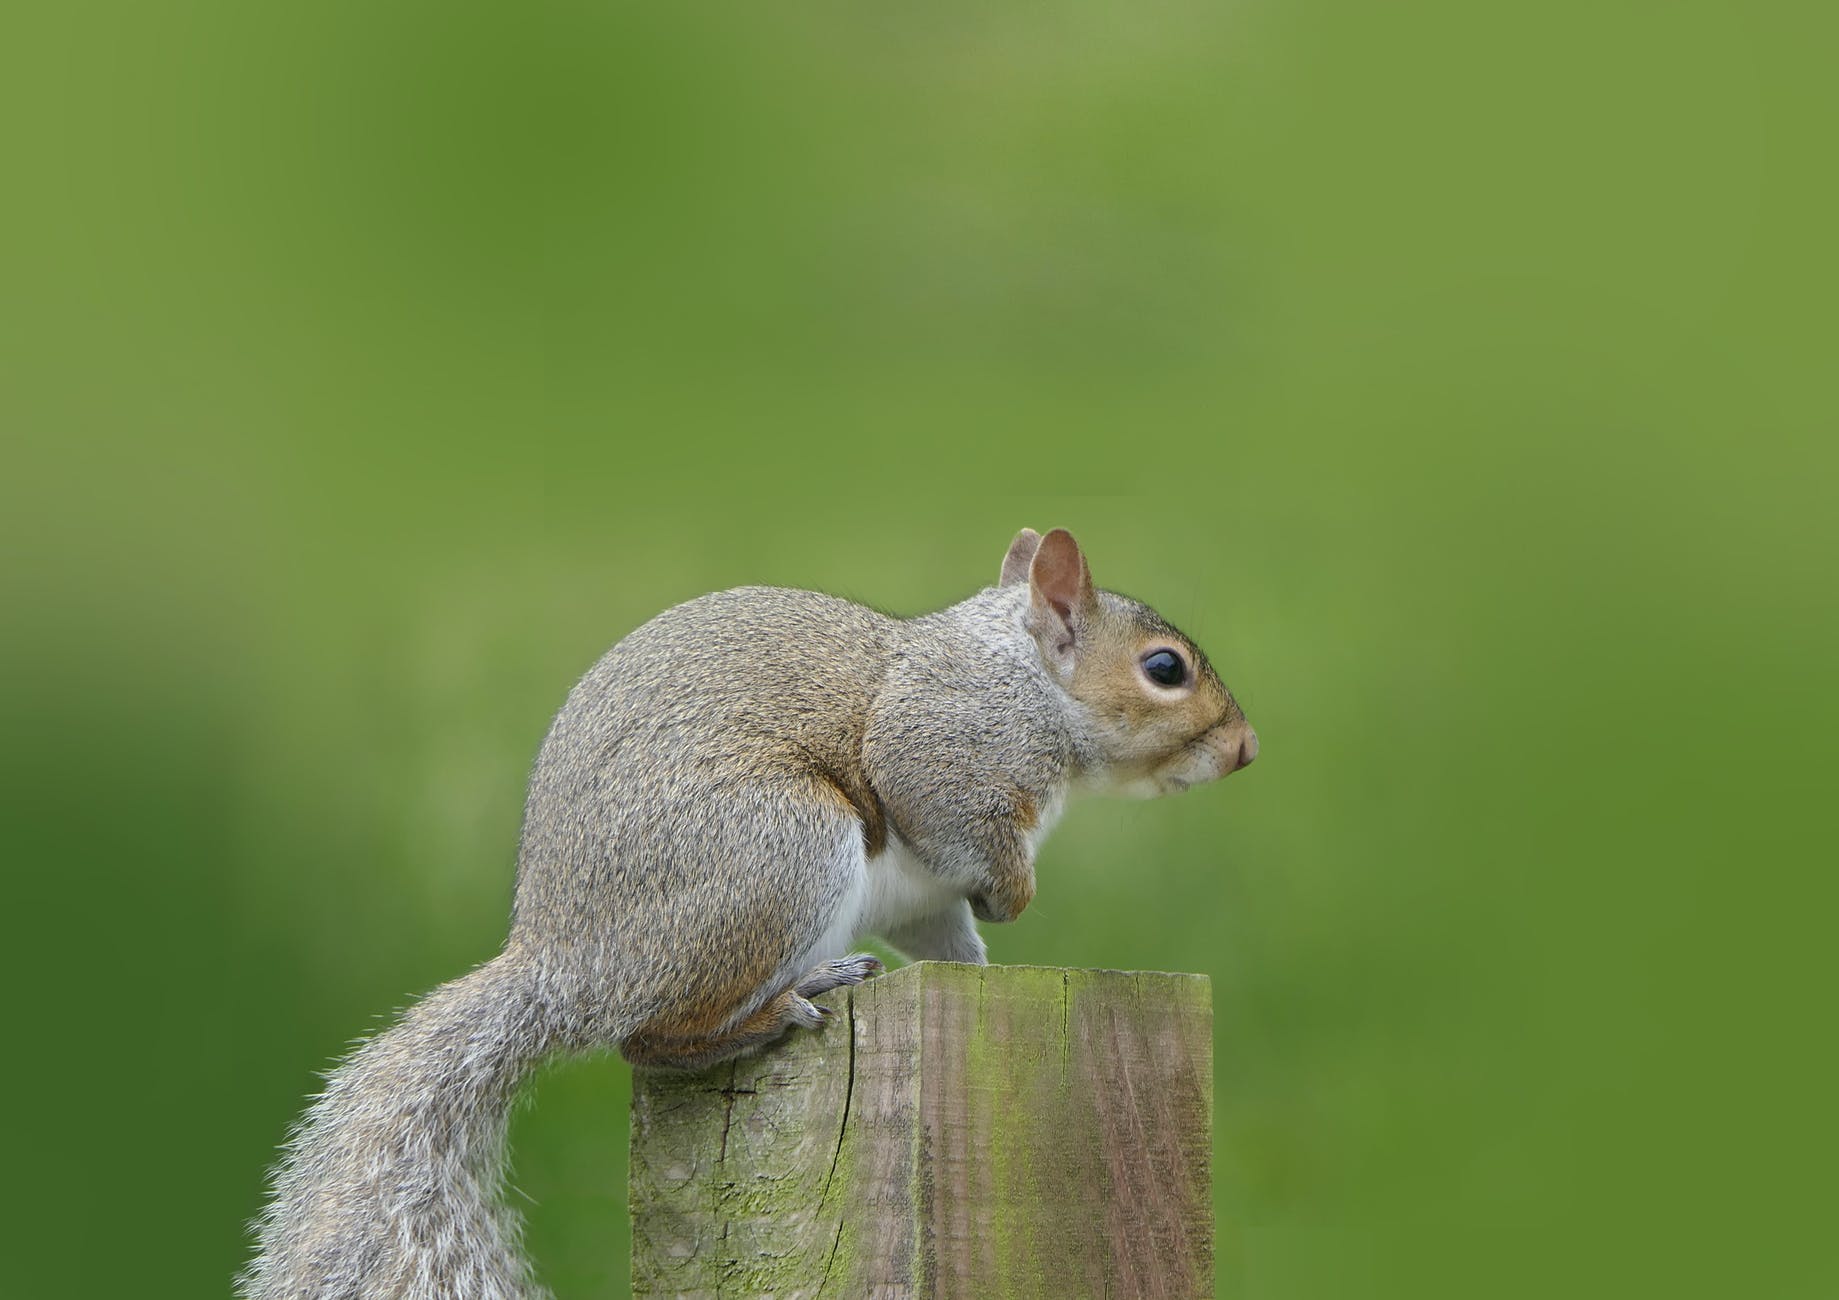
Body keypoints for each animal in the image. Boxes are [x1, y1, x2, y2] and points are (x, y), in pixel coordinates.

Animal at [244, 529, 1257, 1300]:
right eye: (1164, 669)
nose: (1247, 748)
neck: (1022, 677)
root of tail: (564, 965)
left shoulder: (924, 895)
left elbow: (942, 934)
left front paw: (979, 969)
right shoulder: (944, 749)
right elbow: (948, 813)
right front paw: (1015, 894)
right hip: (780, 854)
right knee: (653, 1040)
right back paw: (782, 1004)